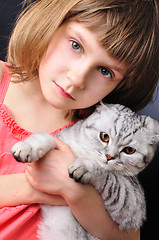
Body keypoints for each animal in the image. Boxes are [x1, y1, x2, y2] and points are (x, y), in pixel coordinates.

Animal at [10, 103, 159, 240]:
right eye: (104, 136)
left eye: (129, 150)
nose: (109, 156)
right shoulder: (60, 139)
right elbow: (45, 137)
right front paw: (27, 147)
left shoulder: (132, 203)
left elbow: (109, 176)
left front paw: (85, 166)